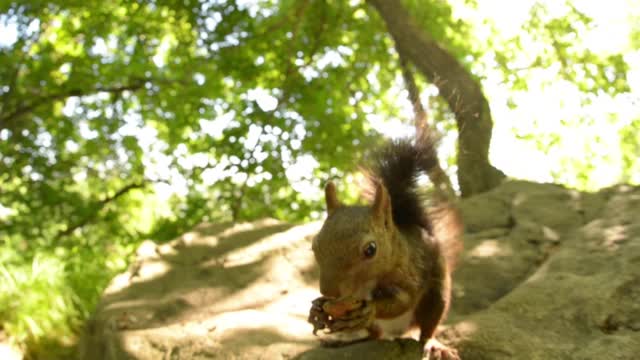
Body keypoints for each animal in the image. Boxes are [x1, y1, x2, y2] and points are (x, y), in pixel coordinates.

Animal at [308, 133, 462, 360]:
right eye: (314, 245)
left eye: (371, 250)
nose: (330, 292)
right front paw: (317, 308)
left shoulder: (410, 272)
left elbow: (404, 300)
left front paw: (370, 309)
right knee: (375, 335)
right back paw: (346, 340)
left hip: (436, 297)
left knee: (427, 329)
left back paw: (434, 345)